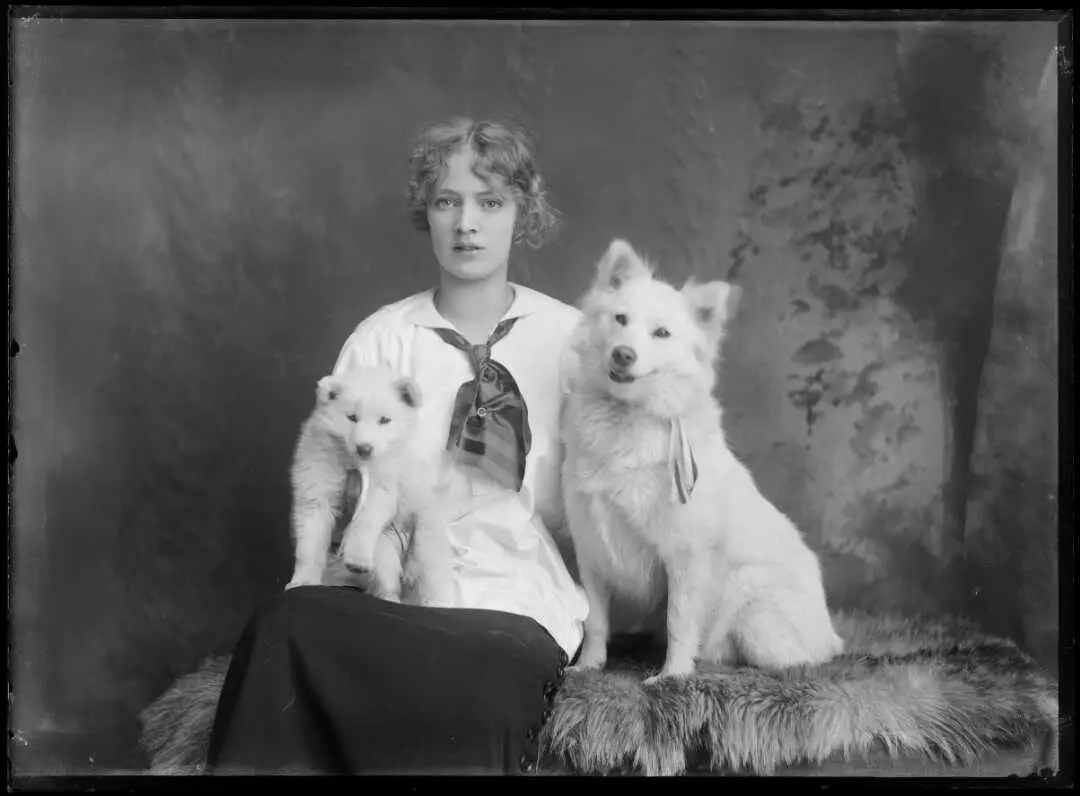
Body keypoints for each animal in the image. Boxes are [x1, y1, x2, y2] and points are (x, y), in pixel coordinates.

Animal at [561, 238, 846, 678]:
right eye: (620, 319)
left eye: (661, 333)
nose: (623, 354)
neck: (627, 416)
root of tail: (831, 633)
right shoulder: (592, 548)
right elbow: (595, 621)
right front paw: (590, 666)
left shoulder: (685, 554)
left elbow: (679, 620)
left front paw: (673, 675)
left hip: (754, 616)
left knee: (800, 660)